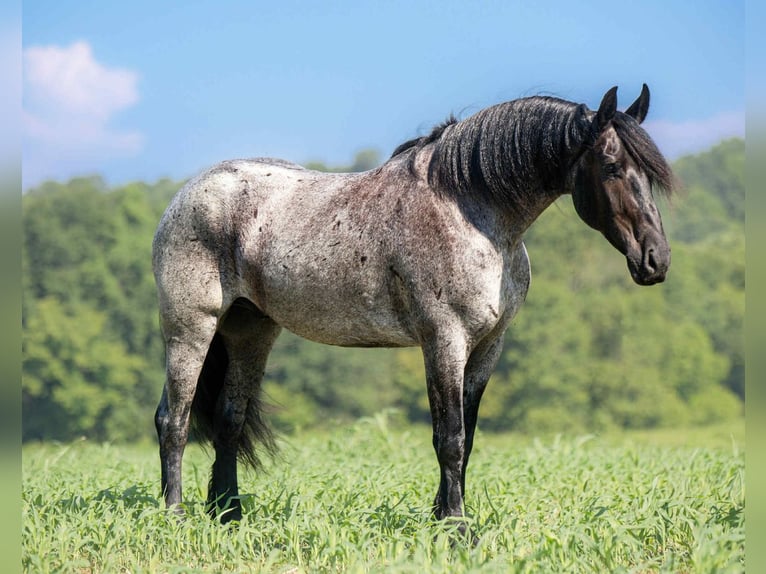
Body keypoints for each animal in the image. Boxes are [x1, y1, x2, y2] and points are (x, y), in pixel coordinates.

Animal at [152, 84, 675, 532]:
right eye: (611, 166)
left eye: (649, 174)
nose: (656, 260)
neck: (470, 211)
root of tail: (185, 195)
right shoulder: (444, 340)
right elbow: (449, 437)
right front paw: (458, 529)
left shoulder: (487, 347)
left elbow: (466, 438)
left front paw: (443, 518)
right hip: (190, 329)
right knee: (173, 420)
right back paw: (174, 516)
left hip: (251, 332)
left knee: (228, 420)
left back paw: (229, 516)